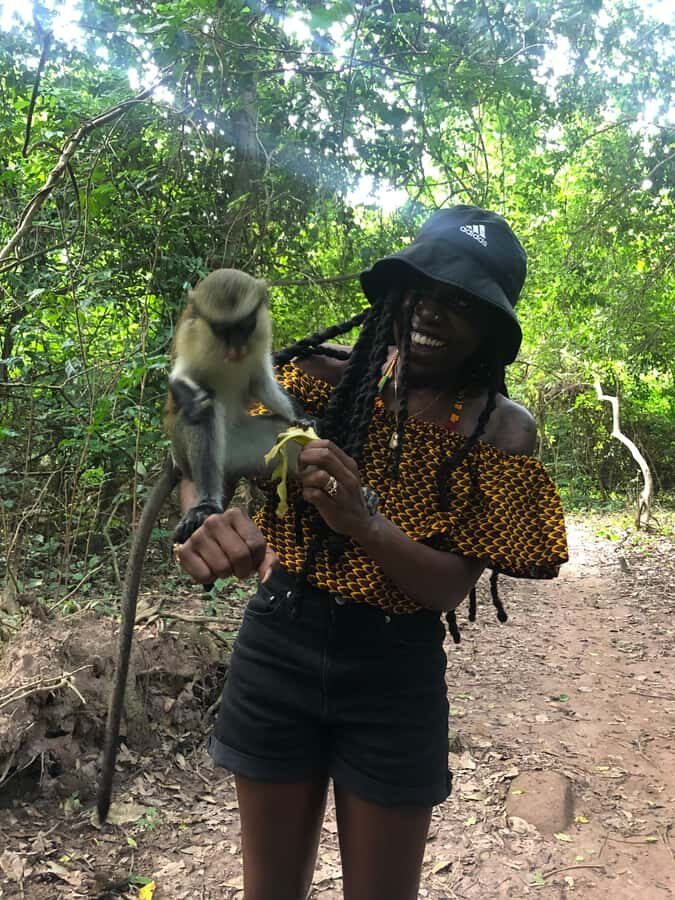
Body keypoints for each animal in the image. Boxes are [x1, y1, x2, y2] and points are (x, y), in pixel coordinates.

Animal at [97, 269, 304, 824]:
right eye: (221, 329)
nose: (233, 349)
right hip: (191, 448)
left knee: (279, 439)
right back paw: (207, 500)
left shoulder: (261, 345)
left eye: (244, 327)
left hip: (251, 446)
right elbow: (182, 379)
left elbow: (265, 387)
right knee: (203, 420)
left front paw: (304, 416)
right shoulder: (192, 336)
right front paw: (189, 393)